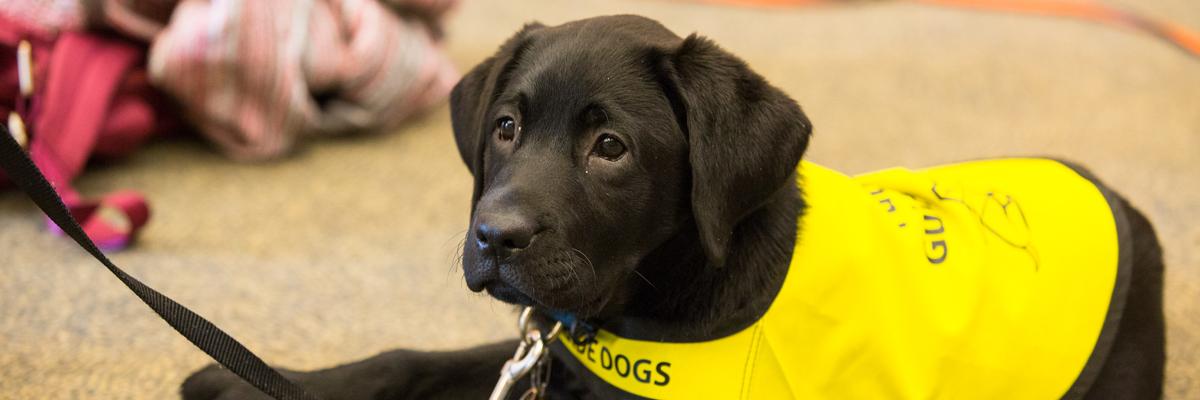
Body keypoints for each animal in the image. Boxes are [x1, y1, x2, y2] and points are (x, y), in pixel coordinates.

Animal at [182, 14, 1166, 396]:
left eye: (610, 149)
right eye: (505, 126)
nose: (494, 236)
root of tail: (1125, 203)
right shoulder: (549, 350)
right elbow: (415, 356)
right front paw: (242, 376)